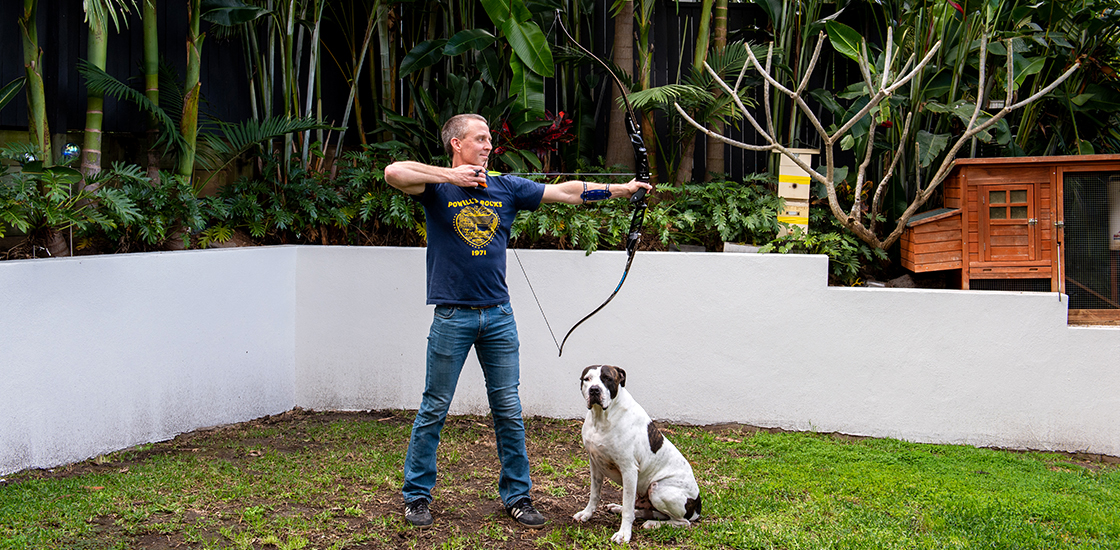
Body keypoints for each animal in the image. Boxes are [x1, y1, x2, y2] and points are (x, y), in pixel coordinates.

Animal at [577, 365, 698, 542]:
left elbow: (628, 507)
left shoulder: (629, 470)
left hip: (658, 488)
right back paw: (619, 508)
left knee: (682, 522)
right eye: (587, 379)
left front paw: (623, 534)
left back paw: (653, 524)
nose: (594, 390)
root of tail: (698, 506)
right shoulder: (595, 464)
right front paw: (587, 514)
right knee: (646, 511)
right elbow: (594, 494)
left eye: (607, 378)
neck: (602, 417)